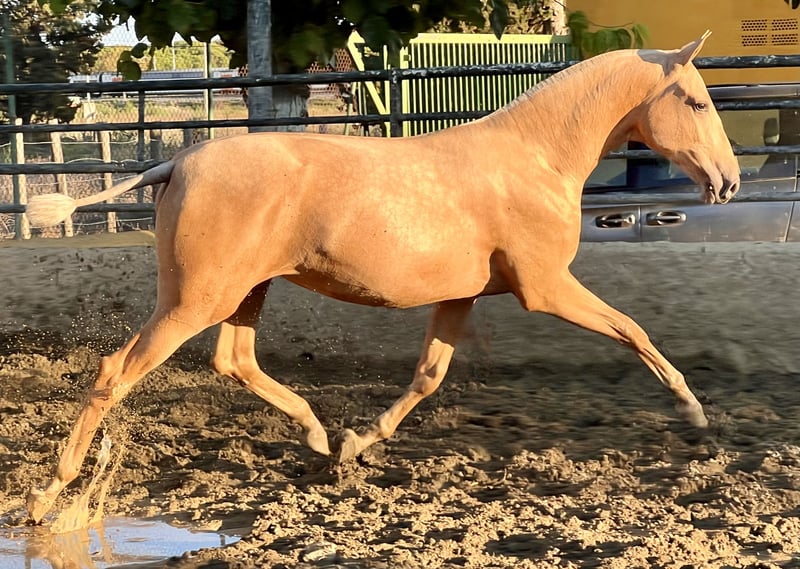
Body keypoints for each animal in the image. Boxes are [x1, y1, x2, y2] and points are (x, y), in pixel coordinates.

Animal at [24, 32, 740, 523]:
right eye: (697, 102)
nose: (728, 183)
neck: (535, 158)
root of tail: (175, 162)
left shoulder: (461, 296)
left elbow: (428, 375)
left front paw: (358, 443)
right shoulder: (545, 288)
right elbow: (633, 330)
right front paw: (695, 413)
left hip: (243, 291)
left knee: (234, 360)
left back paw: (318, 436)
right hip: (195, 298)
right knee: (116, 373)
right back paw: (47, 497)